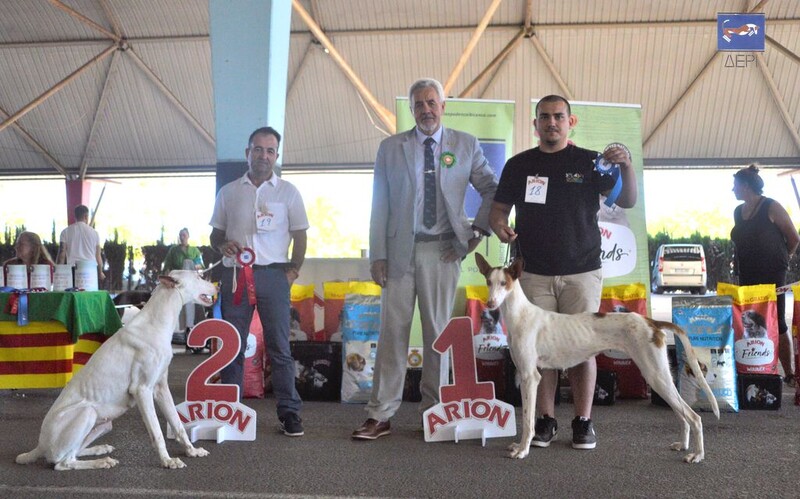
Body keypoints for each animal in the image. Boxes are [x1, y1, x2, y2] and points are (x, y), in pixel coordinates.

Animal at [16, 270, 216, 470]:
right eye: (198, 276)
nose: (218, 286)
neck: (155, 323)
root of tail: (40, 445)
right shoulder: (142, 390)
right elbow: (157, 433)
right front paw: (168, 461)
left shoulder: (161, 389)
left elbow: (178, 424)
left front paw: (192, 451)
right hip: (87, 412)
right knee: (63, 462)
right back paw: (101, 461)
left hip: (105, 425)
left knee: (75, 452)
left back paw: (99, 449)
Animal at [475, 253, 719, 463]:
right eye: (488, 281)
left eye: (504, 283)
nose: (490, 303)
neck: (520, 316)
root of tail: (652, 322)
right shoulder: (529, 374)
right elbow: (526, 416)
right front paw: (520, 446)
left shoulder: (529, 377)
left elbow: (526, 420)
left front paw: (523, 450)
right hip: (659, 376)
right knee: (683, 415)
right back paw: (683, 445)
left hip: (656, 375)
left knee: (693, 417)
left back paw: (697, 455)